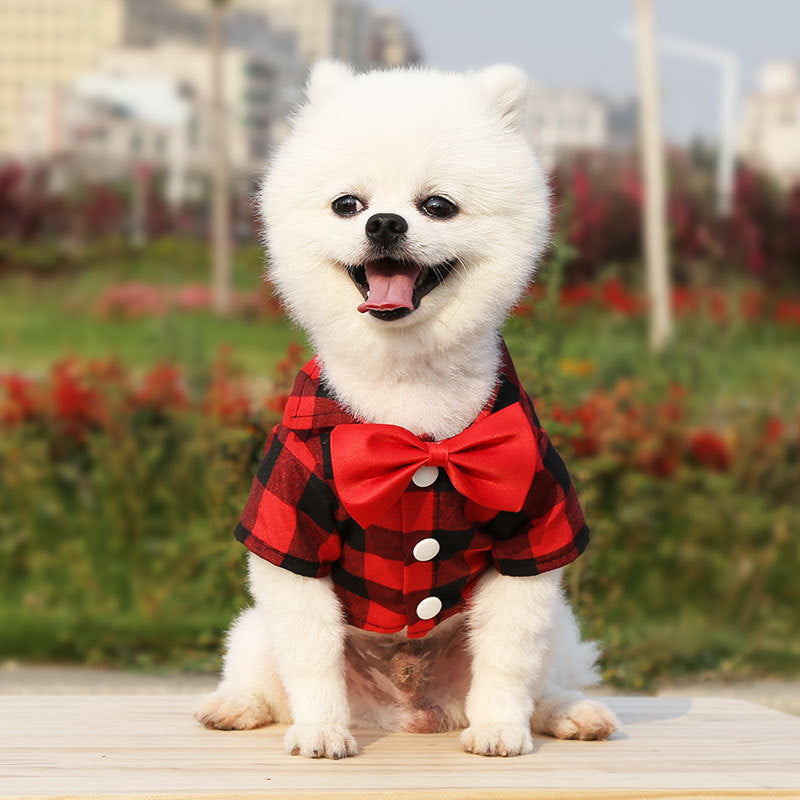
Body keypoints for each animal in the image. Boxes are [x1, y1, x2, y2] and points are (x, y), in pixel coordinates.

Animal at [194, 61, 620, 756]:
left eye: (437, 205)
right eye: (348, 204)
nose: (385, 224)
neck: (408, 399)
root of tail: (407, 712)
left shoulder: (532, 526)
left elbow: (508, 654)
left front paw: (498, 727)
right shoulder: (290, 525)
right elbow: (310, 651)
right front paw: (322, 729)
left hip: (554, 623)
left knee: (543, 681)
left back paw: (570, 713)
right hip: (255, 631)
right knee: (263, 674)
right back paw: (234, 705)